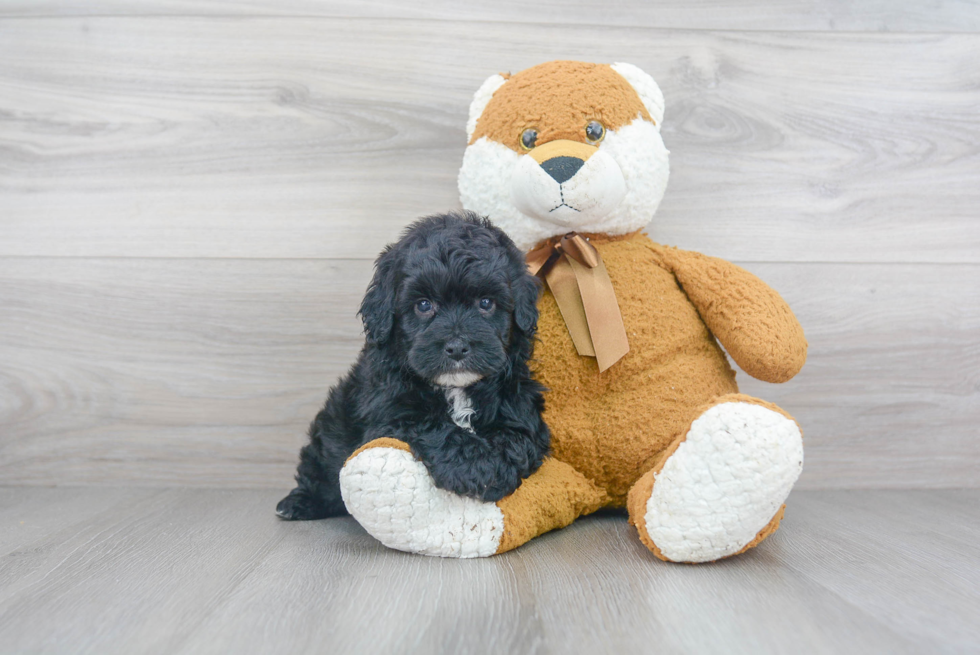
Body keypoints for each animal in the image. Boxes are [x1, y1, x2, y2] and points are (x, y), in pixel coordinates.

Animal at [278, 213, 552, 520]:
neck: (456, 389)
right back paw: (299, 503)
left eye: (485, 303)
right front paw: (475, 466)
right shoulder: (388, 413)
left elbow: (516, 436)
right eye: (423, 305)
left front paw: (492, 469)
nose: (457, 347)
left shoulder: (520, 404)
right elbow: (429, 424)